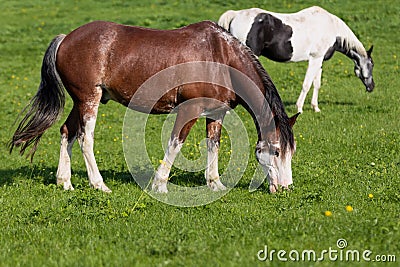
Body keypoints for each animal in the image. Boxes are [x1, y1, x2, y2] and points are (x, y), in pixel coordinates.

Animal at [8, 19, 296, 194]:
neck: (219, 56)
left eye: (290, 152)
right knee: (84, 138)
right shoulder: (189, 110)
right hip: (89, 100)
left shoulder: (216, 113)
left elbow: (213, 145)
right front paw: (160, 184)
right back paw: (99, 184)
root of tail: (66, 38)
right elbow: (175, 144)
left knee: (67, 132)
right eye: (276, 151)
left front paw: (215, 184)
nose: (286, 187)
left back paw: (64, 181)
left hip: (80, 102)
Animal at [217, 6, 374, 113]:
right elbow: (306, 84)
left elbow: (316, 84)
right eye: (371, 65)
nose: (371, 87)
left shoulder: (319, 61)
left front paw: (315, 107)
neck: (331, 28)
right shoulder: (315, 59)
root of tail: (235, 15)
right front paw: (299, 108)